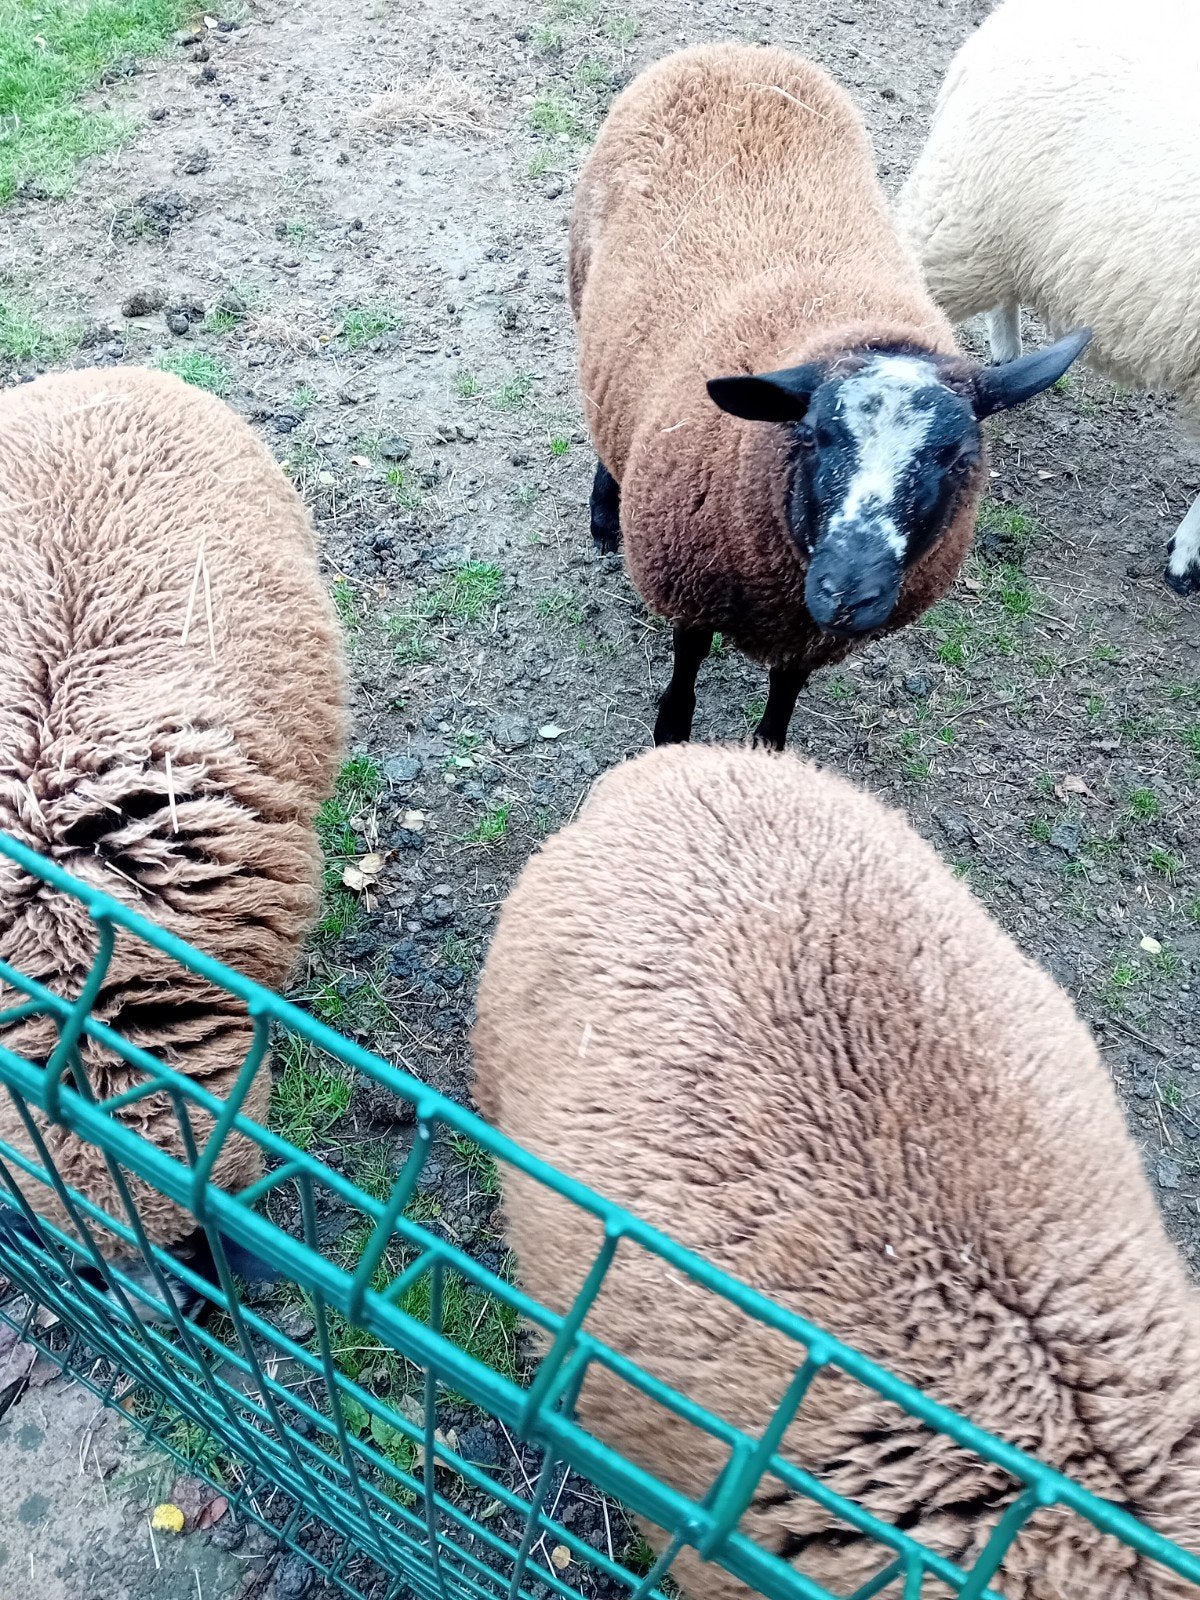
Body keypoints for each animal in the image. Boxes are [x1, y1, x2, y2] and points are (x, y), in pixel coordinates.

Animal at [569, 44, 1089, 749]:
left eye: (959, 457)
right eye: (813, 436)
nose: (847, 591)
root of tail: (737, 50)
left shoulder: (811, 640)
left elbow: (785, 693)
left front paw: (768, 750)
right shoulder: (690, 590)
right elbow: (685, 676)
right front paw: (671, 740)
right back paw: (605, 514)